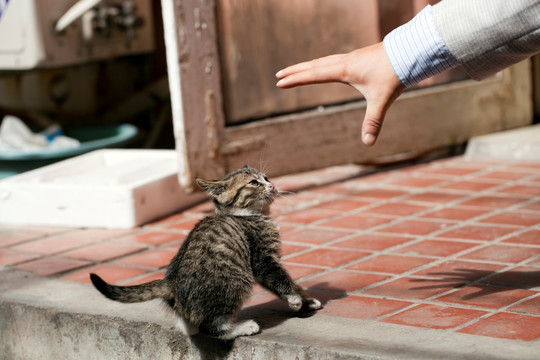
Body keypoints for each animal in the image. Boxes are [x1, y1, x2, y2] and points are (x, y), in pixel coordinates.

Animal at [90, 166, 322, 340]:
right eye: (254, 183)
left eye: (266, 178)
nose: (272, 185)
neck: (247, 214)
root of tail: (171, 282)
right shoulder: (262, 258)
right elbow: (281, 278)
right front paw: (296, 299)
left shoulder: (262, 265)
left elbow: (283, 281)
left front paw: (307, 301)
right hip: (236, 280)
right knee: (211, 327)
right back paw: (241, 327)